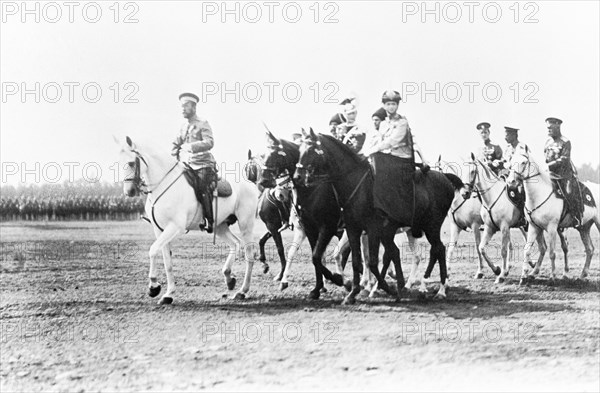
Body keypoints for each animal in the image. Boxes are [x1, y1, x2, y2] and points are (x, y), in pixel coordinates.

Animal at [116, 136, 258, 304]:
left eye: (132, 162)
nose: (129, 191)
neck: (164, 185)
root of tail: (250, 184)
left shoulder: (175, 228)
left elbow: (153, 250)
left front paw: (153, 286)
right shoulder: (159, 230)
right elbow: (167, 262)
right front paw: (168, 294)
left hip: (246, 224)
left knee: (249, 254)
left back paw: (242, 291)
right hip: (220, 226)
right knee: (235, 243)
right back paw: (229, 278)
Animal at [258, 132, 346, 298]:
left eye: (275, 154)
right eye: (263, 155)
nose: (263, 180)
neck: (311, 191)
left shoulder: (322, 228)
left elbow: (286, 250)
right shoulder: (308, 229)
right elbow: (314, 256)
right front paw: (318, 288)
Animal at [296, 129, 454, 304]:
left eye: (311, 150)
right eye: (299, 150)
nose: (297, 176)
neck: (357, 186)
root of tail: (446, 179)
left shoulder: (369, 230)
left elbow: (371, 262)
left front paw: (383, 288)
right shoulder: (352, 229)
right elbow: (356, 261)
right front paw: (352, 293)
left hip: (432, 226)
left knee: (438, 249)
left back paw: (439, 290)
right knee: (415, 252)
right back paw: (411, 286)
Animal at [464, 152, 548, 284]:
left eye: (472, 171)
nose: (465, 193)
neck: (491, 197)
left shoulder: (504, 227)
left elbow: (504, 251)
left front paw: (501, 275)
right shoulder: (489, 228)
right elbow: (481, 248)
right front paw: (496, 269)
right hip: (534, 228)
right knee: (542, 248)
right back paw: (533, 270)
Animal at [506, 146, 600, 278]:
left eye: (524, 162)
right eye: (511, 162)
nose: (511, 181)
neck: (539, 195)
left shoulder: (552, 228)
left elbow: (552, 253)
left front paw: (553, 275)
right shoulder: (534, 227)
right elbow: (527, 250)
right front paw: (524, 276)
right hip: (584, 227)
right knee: (590, 249)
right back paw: (583, 274)